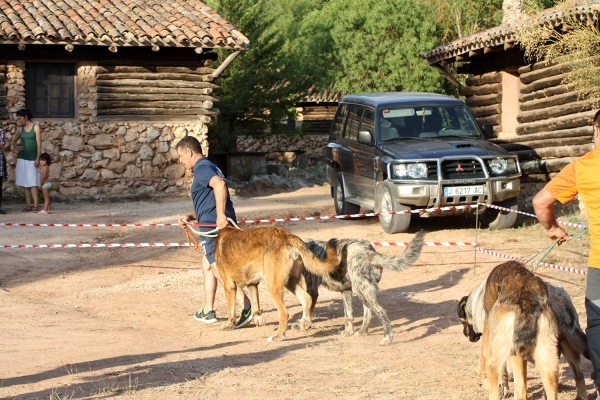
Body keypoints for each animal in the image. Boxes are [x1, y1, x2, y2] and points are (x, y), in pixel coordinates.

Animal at [460, 276, 592, 398]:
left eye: (463, 322)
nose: (466, 335)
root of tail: (558, 300)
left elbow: (497, 372)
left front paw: (502, 388)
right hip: (566, 346)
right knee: (577, 375)